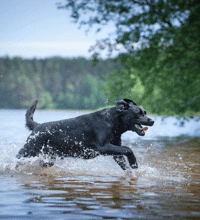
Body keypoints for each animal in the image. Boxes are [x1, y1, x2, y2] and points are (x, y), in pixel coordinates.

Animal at [16, 98, 155, 170]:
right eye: (138, 113)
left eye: (145, 112)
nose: (152, 120)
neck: (112, 122)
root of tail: (37, 126)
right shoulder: (102, 147)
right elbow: (128, 149)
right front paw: (133, 163)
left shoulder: (115, 149)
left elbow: (123, 156)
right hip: (28, 151)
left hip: (48, 158)